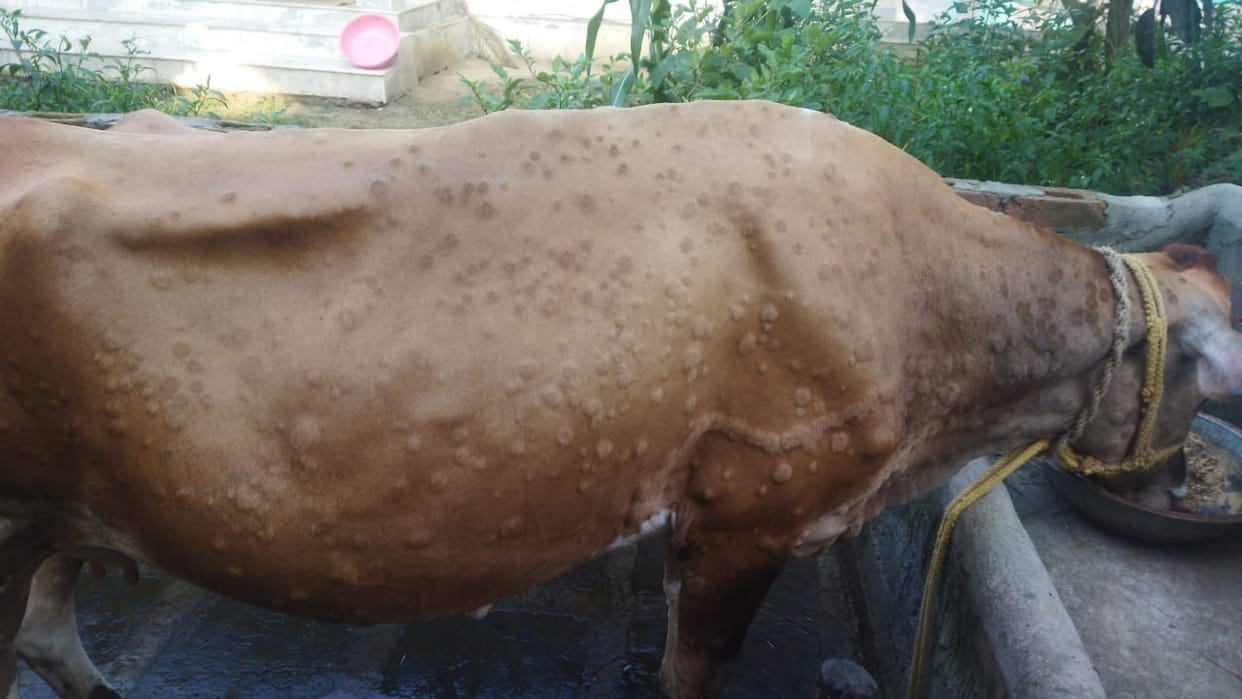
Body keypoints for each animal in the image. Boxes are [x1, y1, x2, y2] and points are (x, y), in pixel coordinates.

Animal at [1, 101, 1239, 699]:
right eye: (1196, 383)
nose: (1178, 488)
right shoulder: (757, 506)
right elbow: (696, 673)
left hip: (68, 512)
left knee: (50, 640)